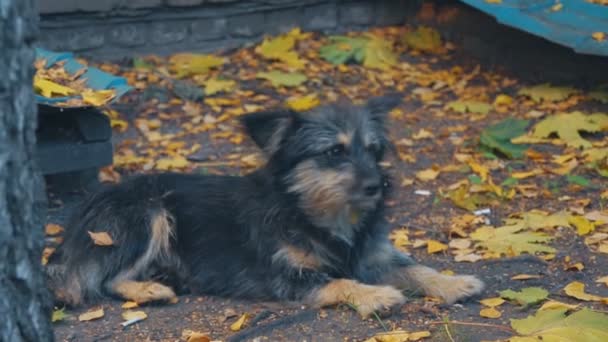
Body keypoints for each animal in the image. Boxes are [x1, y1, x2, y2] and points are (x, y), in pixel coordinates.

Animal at [46, 95, 484, 318]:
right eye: (334, 152)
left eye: (374, 151)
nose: (379, 186)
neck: (320, 216)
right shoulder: (285, 276)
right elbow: (338, 281)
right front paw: (374, 295)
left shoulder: (374, 256)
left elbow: (417, 268)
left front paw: (453, 282)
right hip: (146, 214)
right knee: (103, 280)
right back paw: (149, 288)